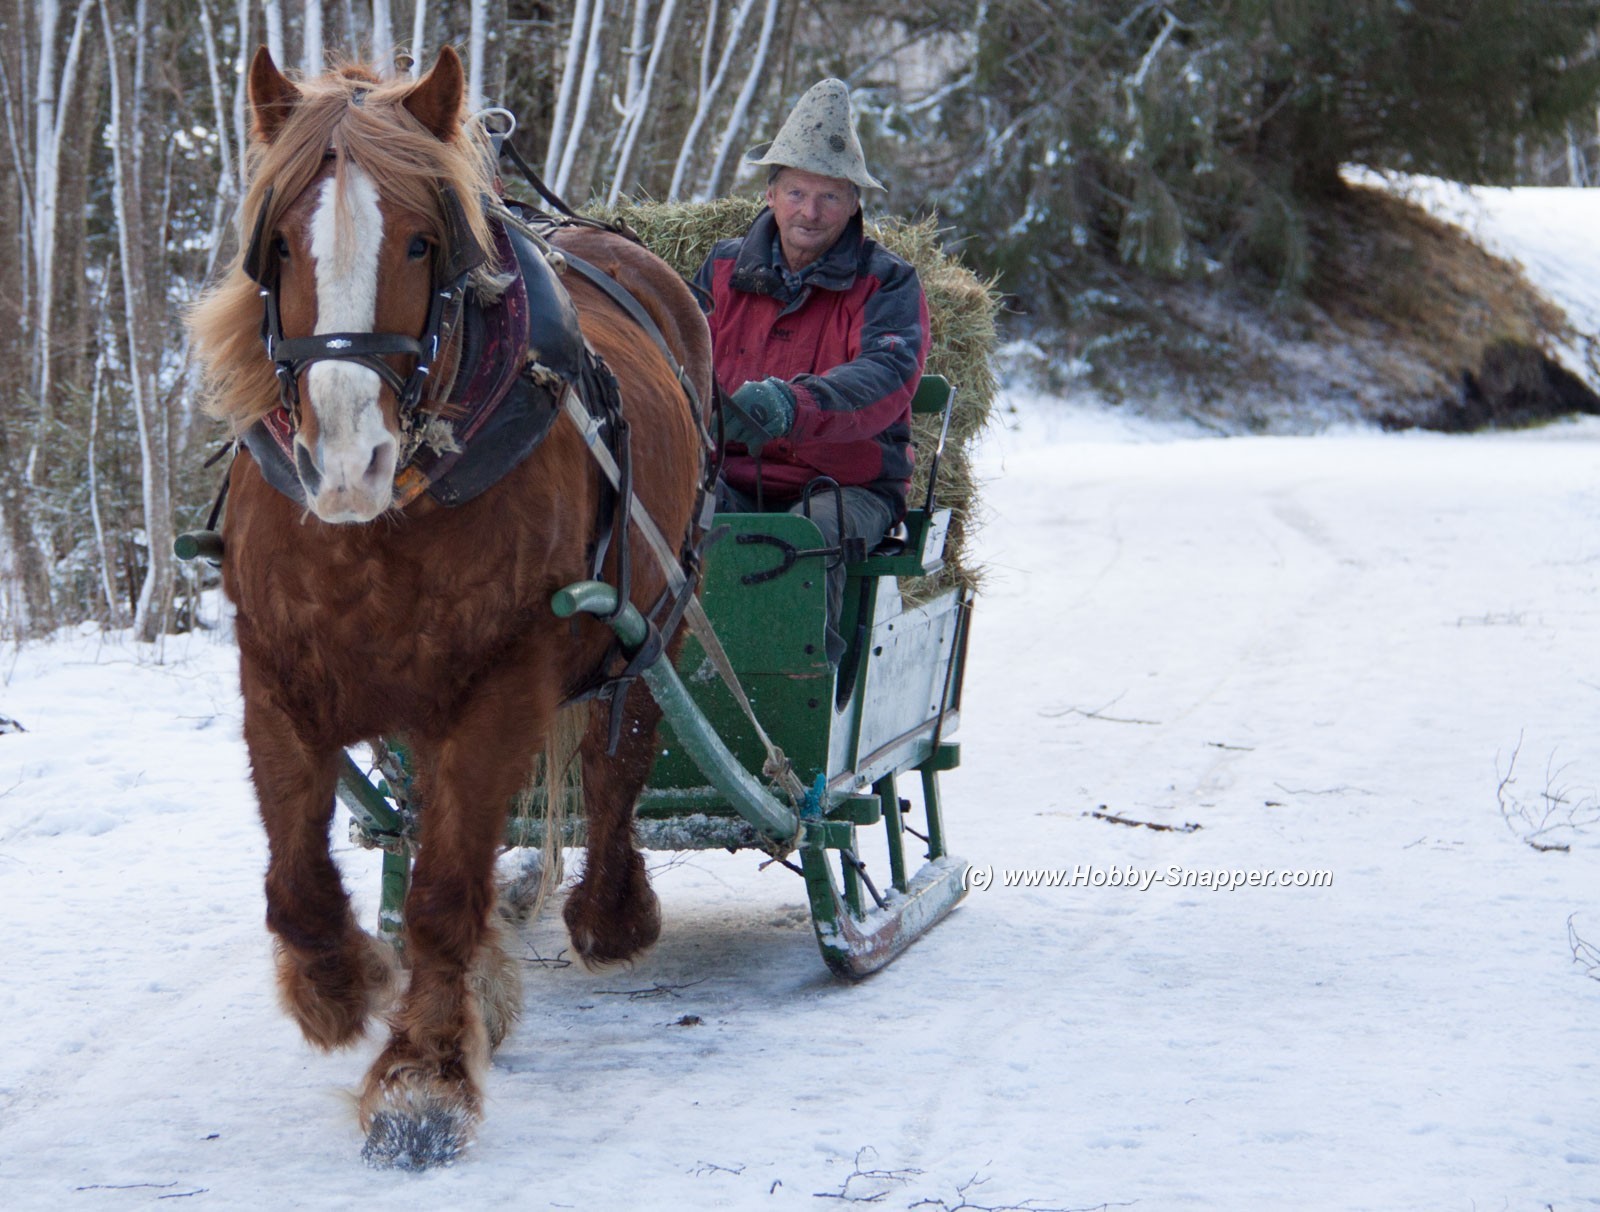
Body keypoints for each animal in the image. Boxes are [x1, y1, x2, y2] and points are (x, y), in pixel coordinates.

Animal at [187, 46, 712, 1167]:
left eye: (423, 240)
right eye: (279, 244)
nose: (348, 463)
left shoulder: (502, 680)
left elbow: (441, 889)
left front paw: (420, 1079)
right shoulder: (274, 666)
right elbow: (298, 882)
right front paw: (343, 988)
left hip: (660, 606)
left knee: (621, 757)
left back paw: (611, 912)